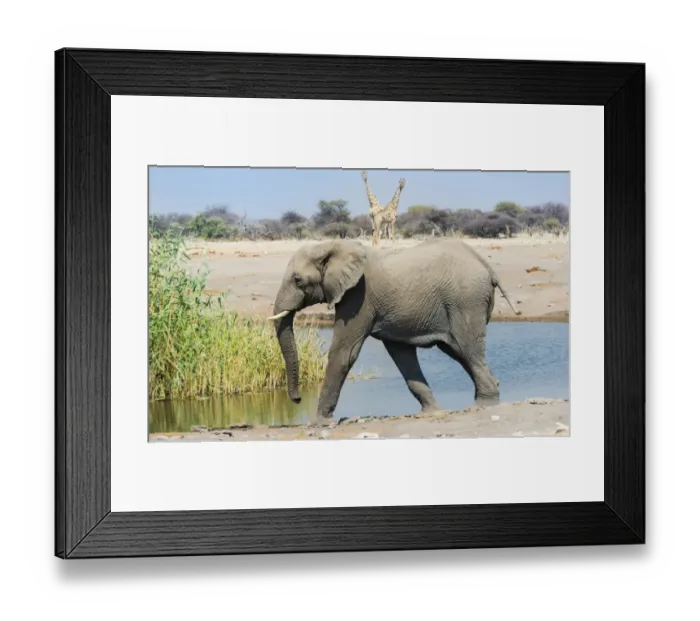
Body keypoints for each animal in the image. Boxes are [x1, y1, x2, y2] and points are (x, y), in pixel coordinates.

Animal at [268, 238, 521, 423]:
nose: (298, 400)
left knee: (468, 349)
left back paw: (484, 405)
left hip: (466, 300)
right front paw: (432, 412)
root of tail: (486, 266)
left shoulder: (359, 297)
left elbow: (344, 353)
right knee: (458, 351)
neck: (332, 246)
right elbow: (402, 355)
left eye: (297, 280)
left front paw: (319, 422)